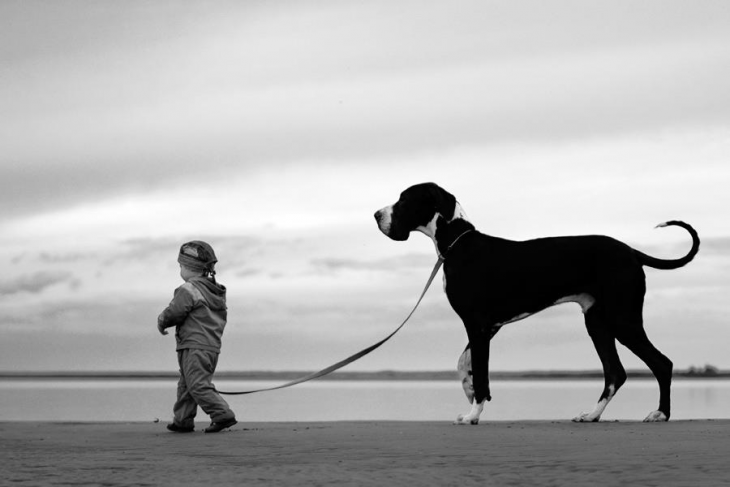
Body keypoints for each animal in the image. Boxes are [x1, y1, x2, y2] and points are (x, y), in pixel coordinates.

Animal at [376, 184, 700, 428]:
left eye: (404, 199)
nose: (376, 214)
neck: (459, 243)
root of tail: (632, 251)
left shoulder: (477, 324)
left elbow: (481, 372)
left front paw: (473, 415)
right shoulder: (487, 327)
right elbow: (463, 363)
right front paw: (469, 390)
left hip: (622, 318)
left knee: (661, 363)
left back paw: (661, 414)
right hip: (597, 322)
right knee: (615, 373)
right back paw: (592, 415)